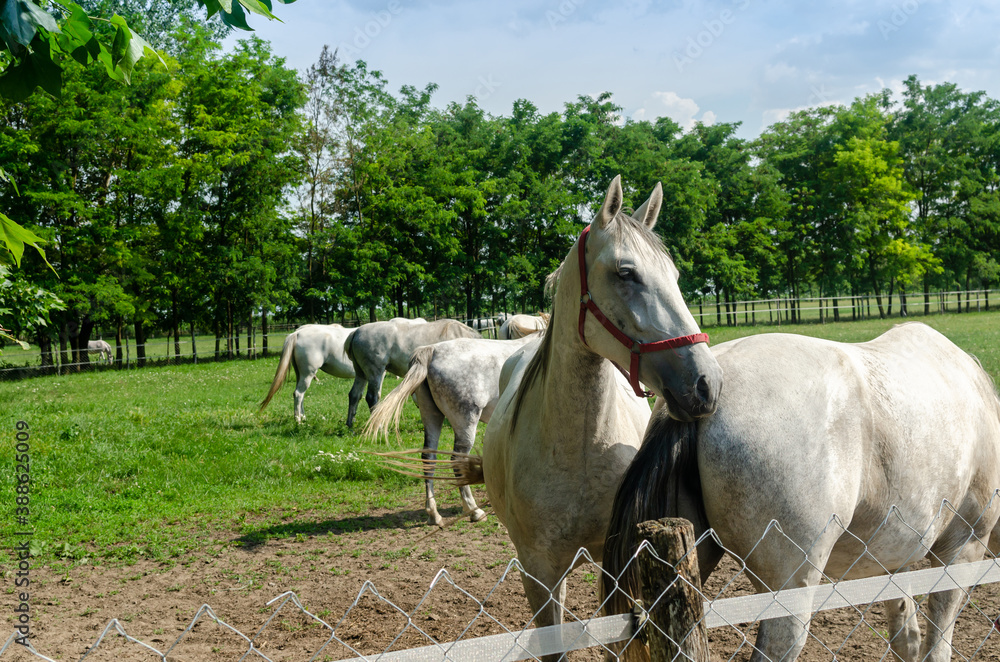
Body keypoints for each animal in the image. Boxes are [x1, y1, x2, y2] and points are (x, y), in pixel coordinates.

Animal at [344, 318, 481, 428]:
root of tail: (356, 332)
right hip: (375, 372)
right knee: (372, 397)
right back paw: (378, 426)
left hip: (361, 374)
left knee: (354, 395)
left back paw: (350, 423)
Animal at [364, 334, 539, 526]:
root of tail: (431, 350)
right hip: (466, 422)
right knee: (457, 460)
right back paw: (474, 511)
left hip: (431, 415)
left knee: (428, 457)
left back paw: (434, 514)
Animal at [449, 176, 722, 653]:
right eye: (625, 273)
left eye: (674, 276)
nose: (706, 383)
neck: (578, 448)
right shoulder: (538, 572)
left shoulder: (619, 561)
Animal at [603, 324, 1000, 662]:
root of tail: (697, 405)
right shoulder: (963, 547)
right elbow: (938, 641)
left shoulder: (889, 559)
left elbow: (907, 637)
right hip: (791, 589)